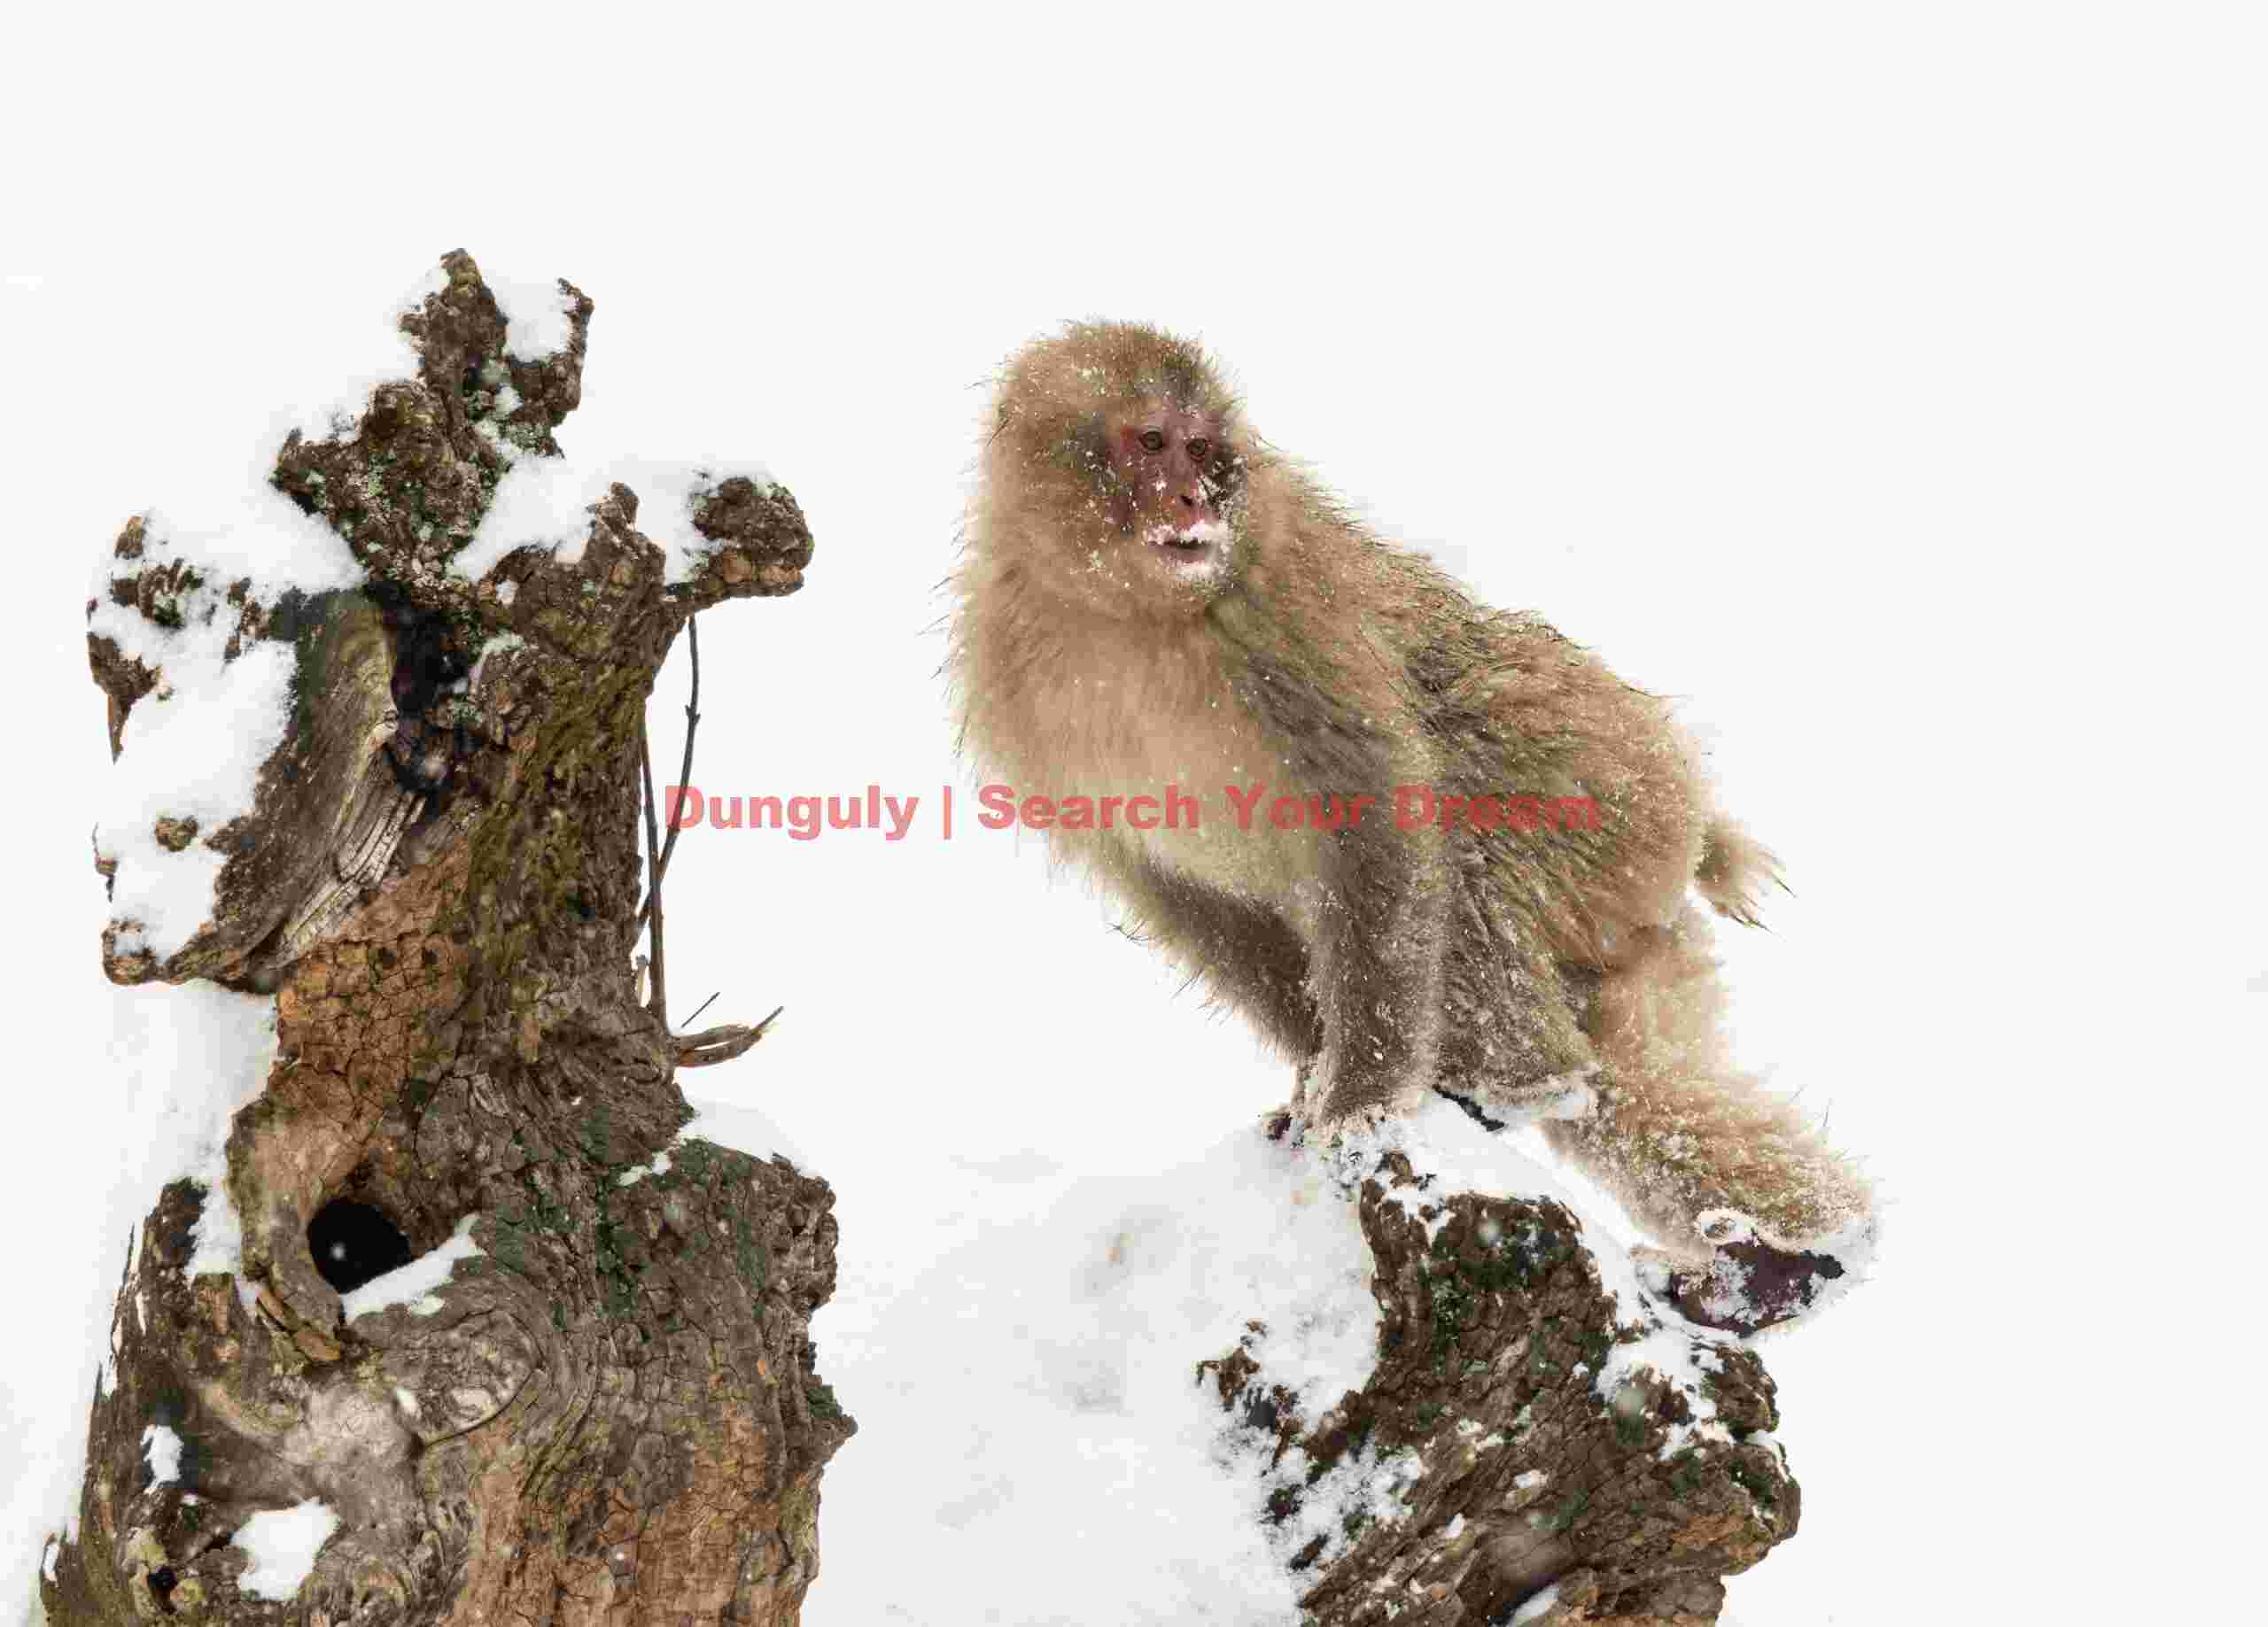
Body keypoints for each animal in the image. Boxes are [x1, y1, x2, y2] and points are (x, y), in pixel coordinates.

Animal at [945, 322, 1875, 1333]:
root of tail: (1692, 806)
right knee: (1638, 1081)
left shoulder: (1286, 613)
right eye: (1151, 443)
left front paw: (1358, 1094)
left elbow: (1376, 804)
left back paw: (1526, 1080)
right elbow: (1180, 895)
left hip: (1610, 785)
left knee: (1465, 830)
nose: (1197, 496)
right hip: (1636, 901)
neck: (1118, 611)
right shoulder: (1011, 683)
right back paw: (1797, 1254)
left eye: (1200, 447)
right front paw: (1312, 1076)